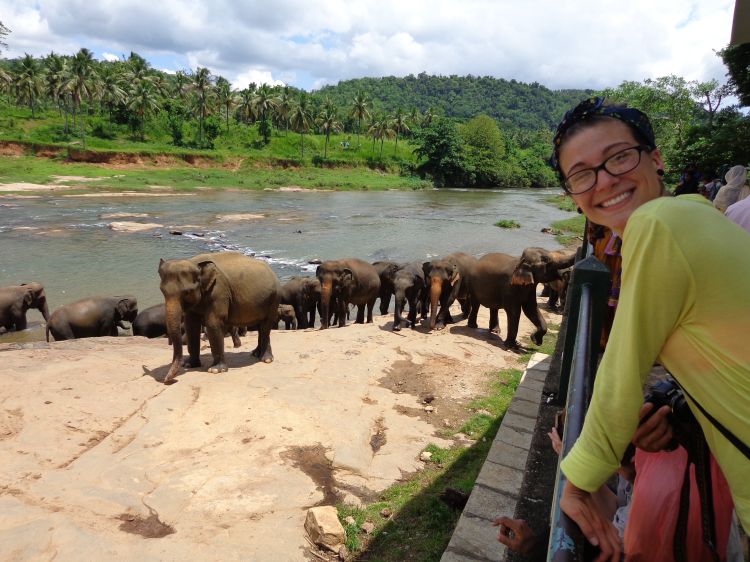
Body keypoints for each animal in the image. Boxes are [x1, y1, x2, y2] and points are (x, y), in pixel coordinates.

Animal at [159, 252, 282, 382]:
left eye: (187, 292)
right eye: (162, 291)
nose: (166, 380)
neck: (195, 262)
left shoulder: (219, 292)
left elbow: (213, 323)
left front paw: (215, 370)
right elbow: (191, 325)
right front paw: (189, 365)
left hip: (274, 298)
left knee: (266, 325)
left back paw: (266, 359)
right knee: (261, 326)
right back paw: (255, 354)